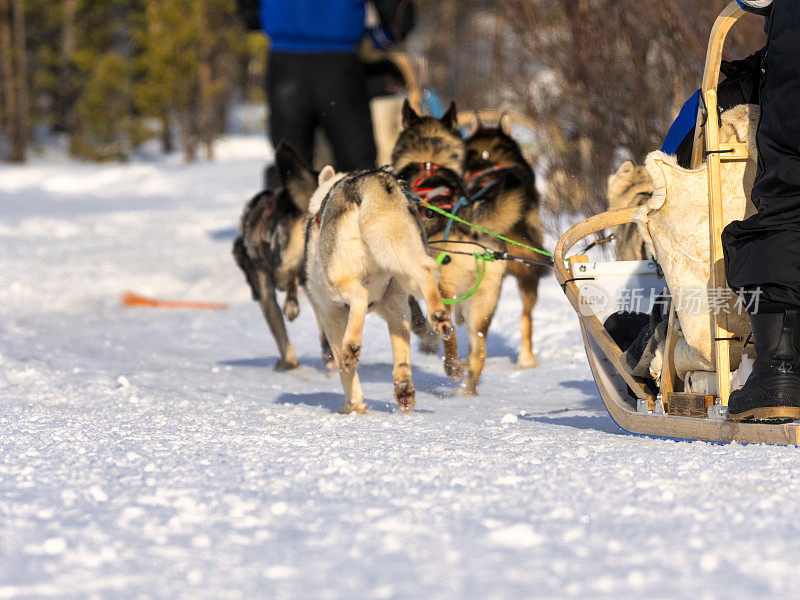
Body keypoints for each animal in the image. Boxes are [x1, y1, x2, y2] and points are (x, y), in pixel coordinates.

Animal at [304, 166, 454, 412]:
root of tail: (373, 180)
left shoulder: (331, 315)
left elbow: (345, 372)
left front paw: (354, 406)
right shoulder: (397, 310)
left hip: (336, 279)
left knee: (360, 298)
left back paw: (351, 346)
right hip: (402, 266)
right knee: (425, 272)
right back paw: (438, 318)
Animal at [392, 101, 506, 396]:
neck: (430, 159)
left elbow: (416, 314)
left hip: (443, 291)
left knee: (450, 333)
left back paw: (453, 367)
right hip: (483, 303)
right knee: (479, 350)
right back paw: (467, 389)